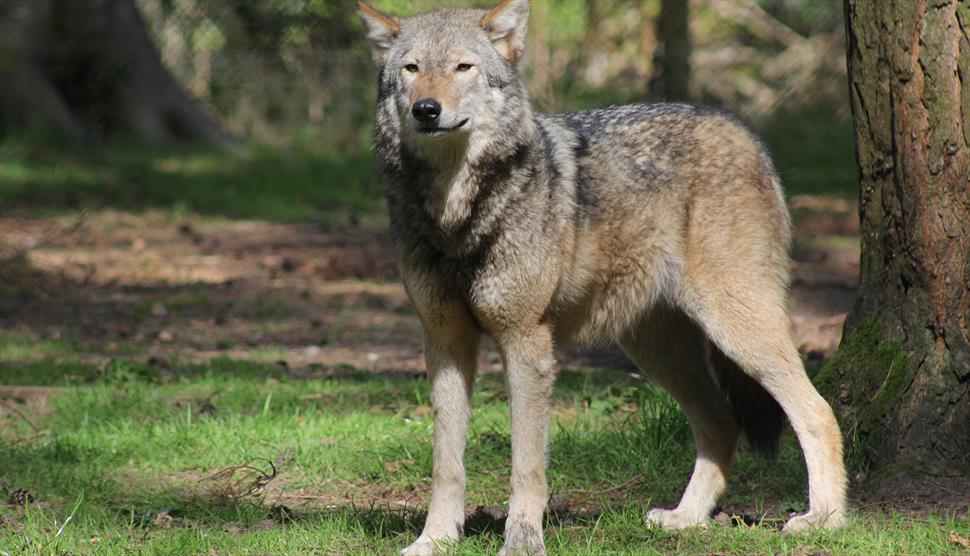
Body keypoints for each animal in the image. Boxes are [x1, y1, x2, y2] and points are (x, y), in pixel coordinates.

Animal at [358, 1, 848, 552]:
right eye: (412, 69)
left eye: (463, 67)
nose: (427, 109)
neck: (458, 215)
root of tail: (746, 132)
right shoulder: (444, 342)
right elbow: (446, 465)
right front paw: (436, 540)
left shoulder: (526, 343)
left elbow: (526, 466)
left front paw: (522, 539)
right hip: (657, 349)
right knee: (722, 424)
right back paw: (686, 518)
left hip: (736, 328)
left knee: (817, 410)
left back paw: (824, 519)